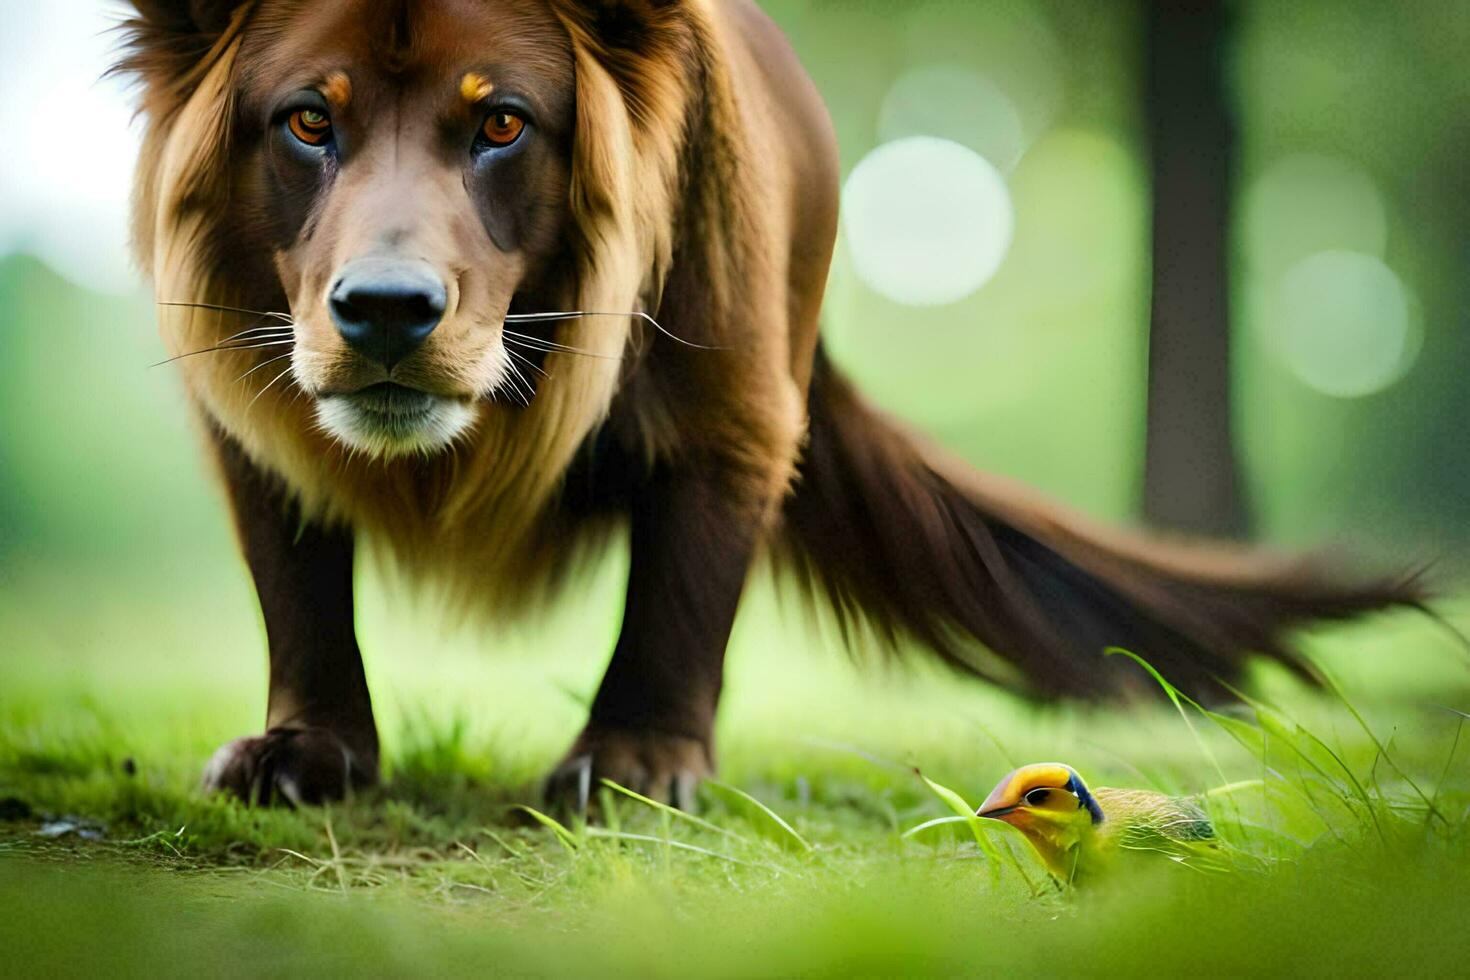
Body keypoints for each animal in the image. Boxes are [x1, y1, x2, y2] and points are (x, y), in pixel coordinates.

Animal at [120, 0, 1417, 811]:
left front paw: (637, 761)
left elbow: (682, 595)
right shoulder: (249, 402)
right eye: (307, 119)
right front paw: (307, 750)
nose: (386, 309)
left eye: (500, 123)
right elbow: (296, 586)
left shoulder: (731, 403)